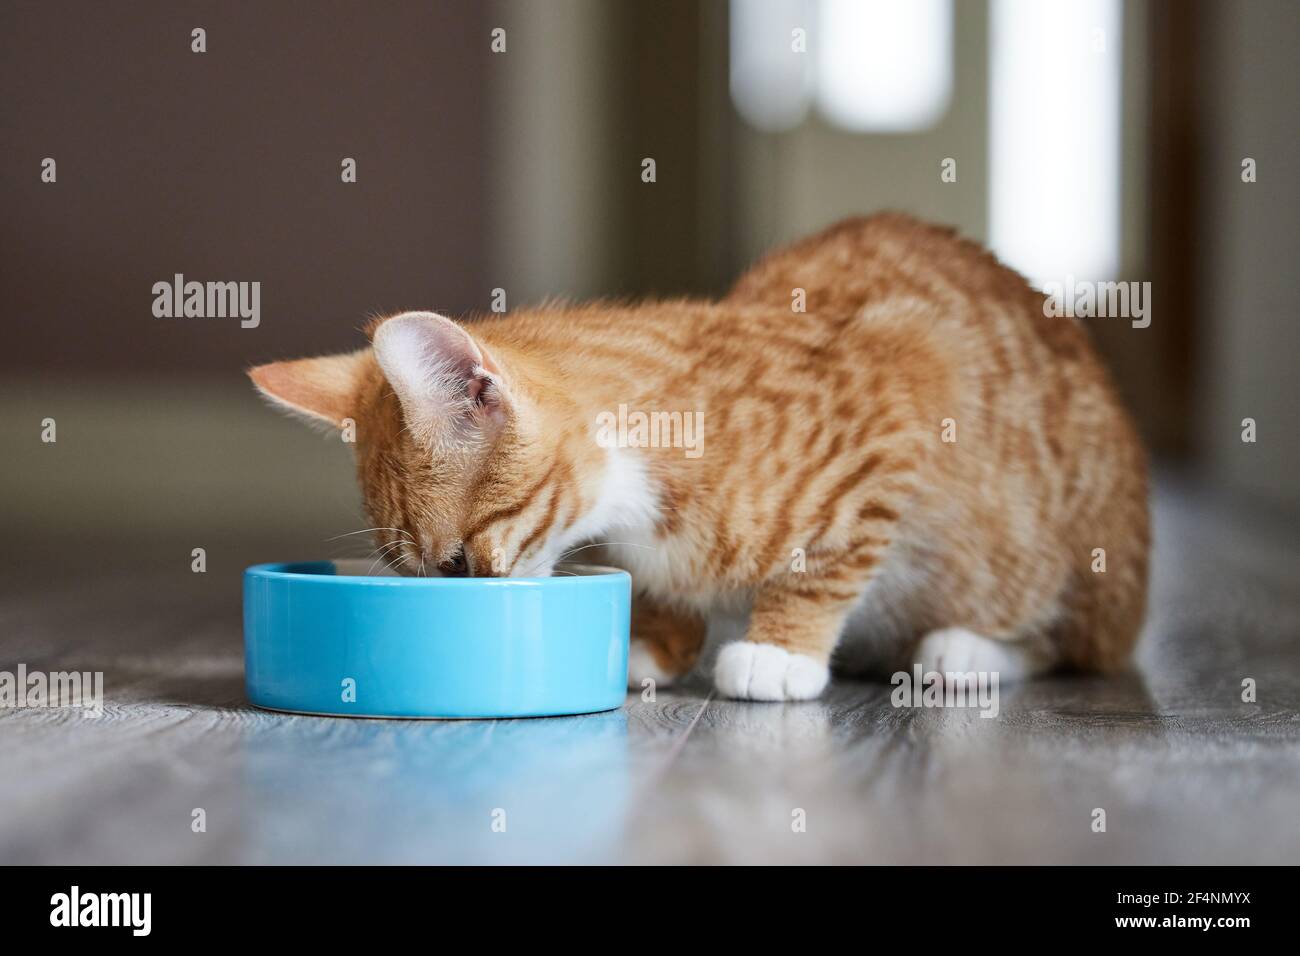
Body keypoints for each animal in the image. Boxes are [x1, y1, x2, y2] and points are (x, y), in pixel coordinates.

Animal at [250, 214, 1149, 702]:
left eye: (459, 565)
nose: (456, 600)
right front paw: (653, 642)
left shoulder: (900, 397)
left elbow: (824, 562)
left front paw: (781, 650)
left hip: (1051, 560)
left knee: (1071, 644)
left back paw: (965, 651)